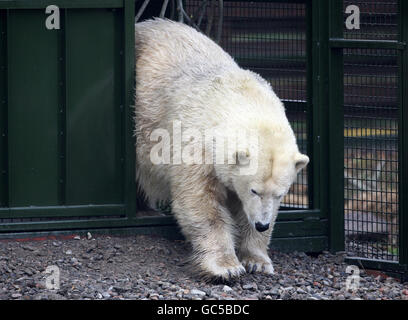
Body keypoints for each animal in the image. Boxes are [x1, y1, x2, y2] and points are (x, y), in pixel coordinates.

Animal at [135, 19, 310, 280]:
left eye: (280, 194)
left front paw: (257, 261)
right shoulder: (195, 146)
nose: (262, 225)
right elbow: (201, 202)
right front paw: (225, 266)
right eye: (254, 190)